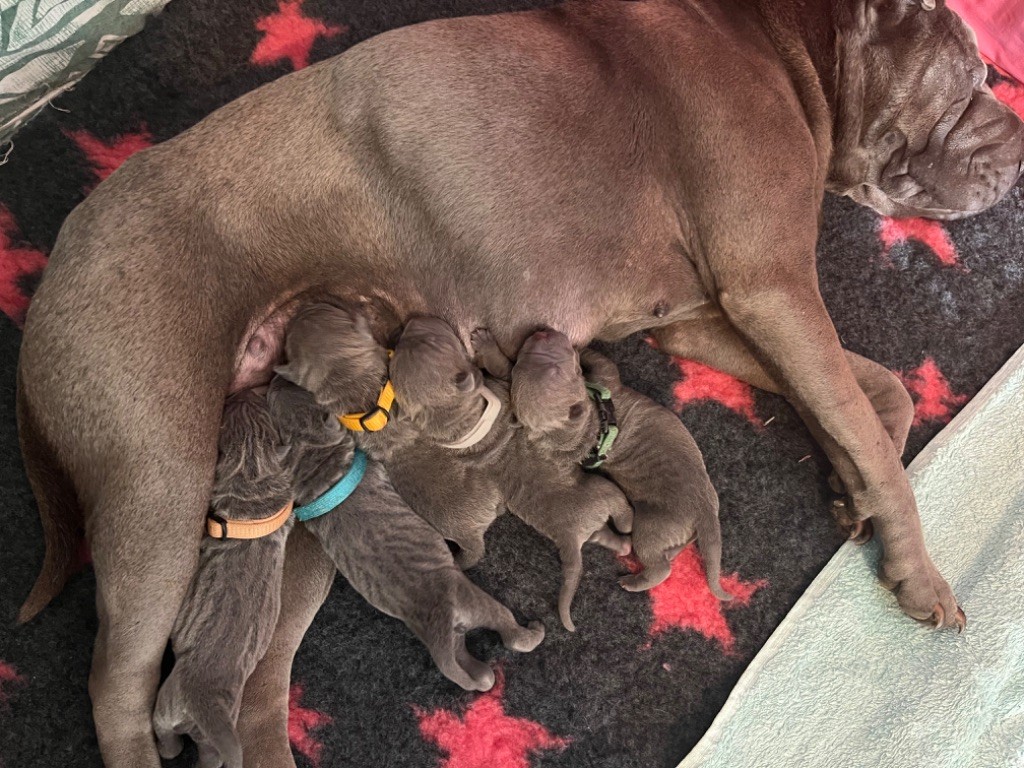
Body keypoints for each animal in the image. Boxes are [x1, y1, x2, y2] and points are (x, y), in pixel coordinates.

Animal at [153, 391, 294, 768]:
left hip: (166, 707)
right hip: (208, 741)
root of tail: (207, 706)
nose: (242, 391)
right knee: (209, 756)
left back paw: (165, 751)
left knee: (165, 735)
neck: (253, 464)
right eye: (255, 400)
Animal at [270, 305, 544, 692]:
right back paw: (532, 632)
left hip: (453, 651)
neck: (361, 399)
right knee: (509, 629)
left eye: (317, 312)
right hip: (480, 600)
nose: (302, 306)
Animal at [475, 327, 733, 598]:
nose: (542, 333)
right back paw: (635, 581)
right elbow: (602, 361)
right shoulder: (604, 381)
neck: (582, 431)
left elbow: (506, 371)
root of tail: (705, 512)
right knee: (658, 561)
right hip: (657, 525)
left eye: (553, 370)